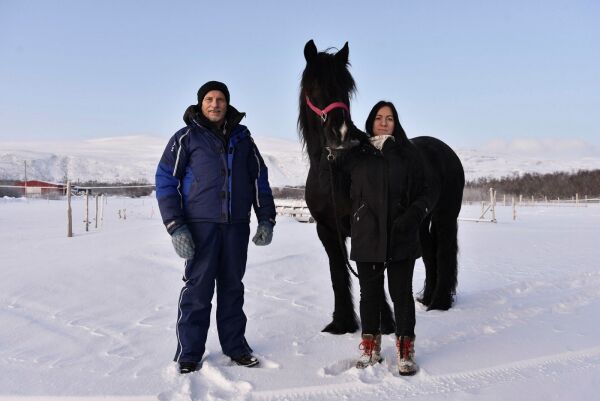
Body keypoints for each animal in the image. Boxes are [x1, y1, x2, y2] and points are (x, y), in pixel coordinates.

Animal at [298, 39, 464, 334]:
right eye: (313, 85)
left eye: (346, 87)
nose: (340, 134)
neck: (334, 169)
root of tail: (444, 150)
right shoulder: (327, 230)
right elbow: (338, 273)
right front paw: (342, 323)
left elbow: (372, 274)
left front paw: (384, 322)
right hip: (419, 221)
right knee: (429, 252)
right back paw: (426, 298)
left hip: (446, 216)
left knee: (444, 252)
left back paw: (439, 302)